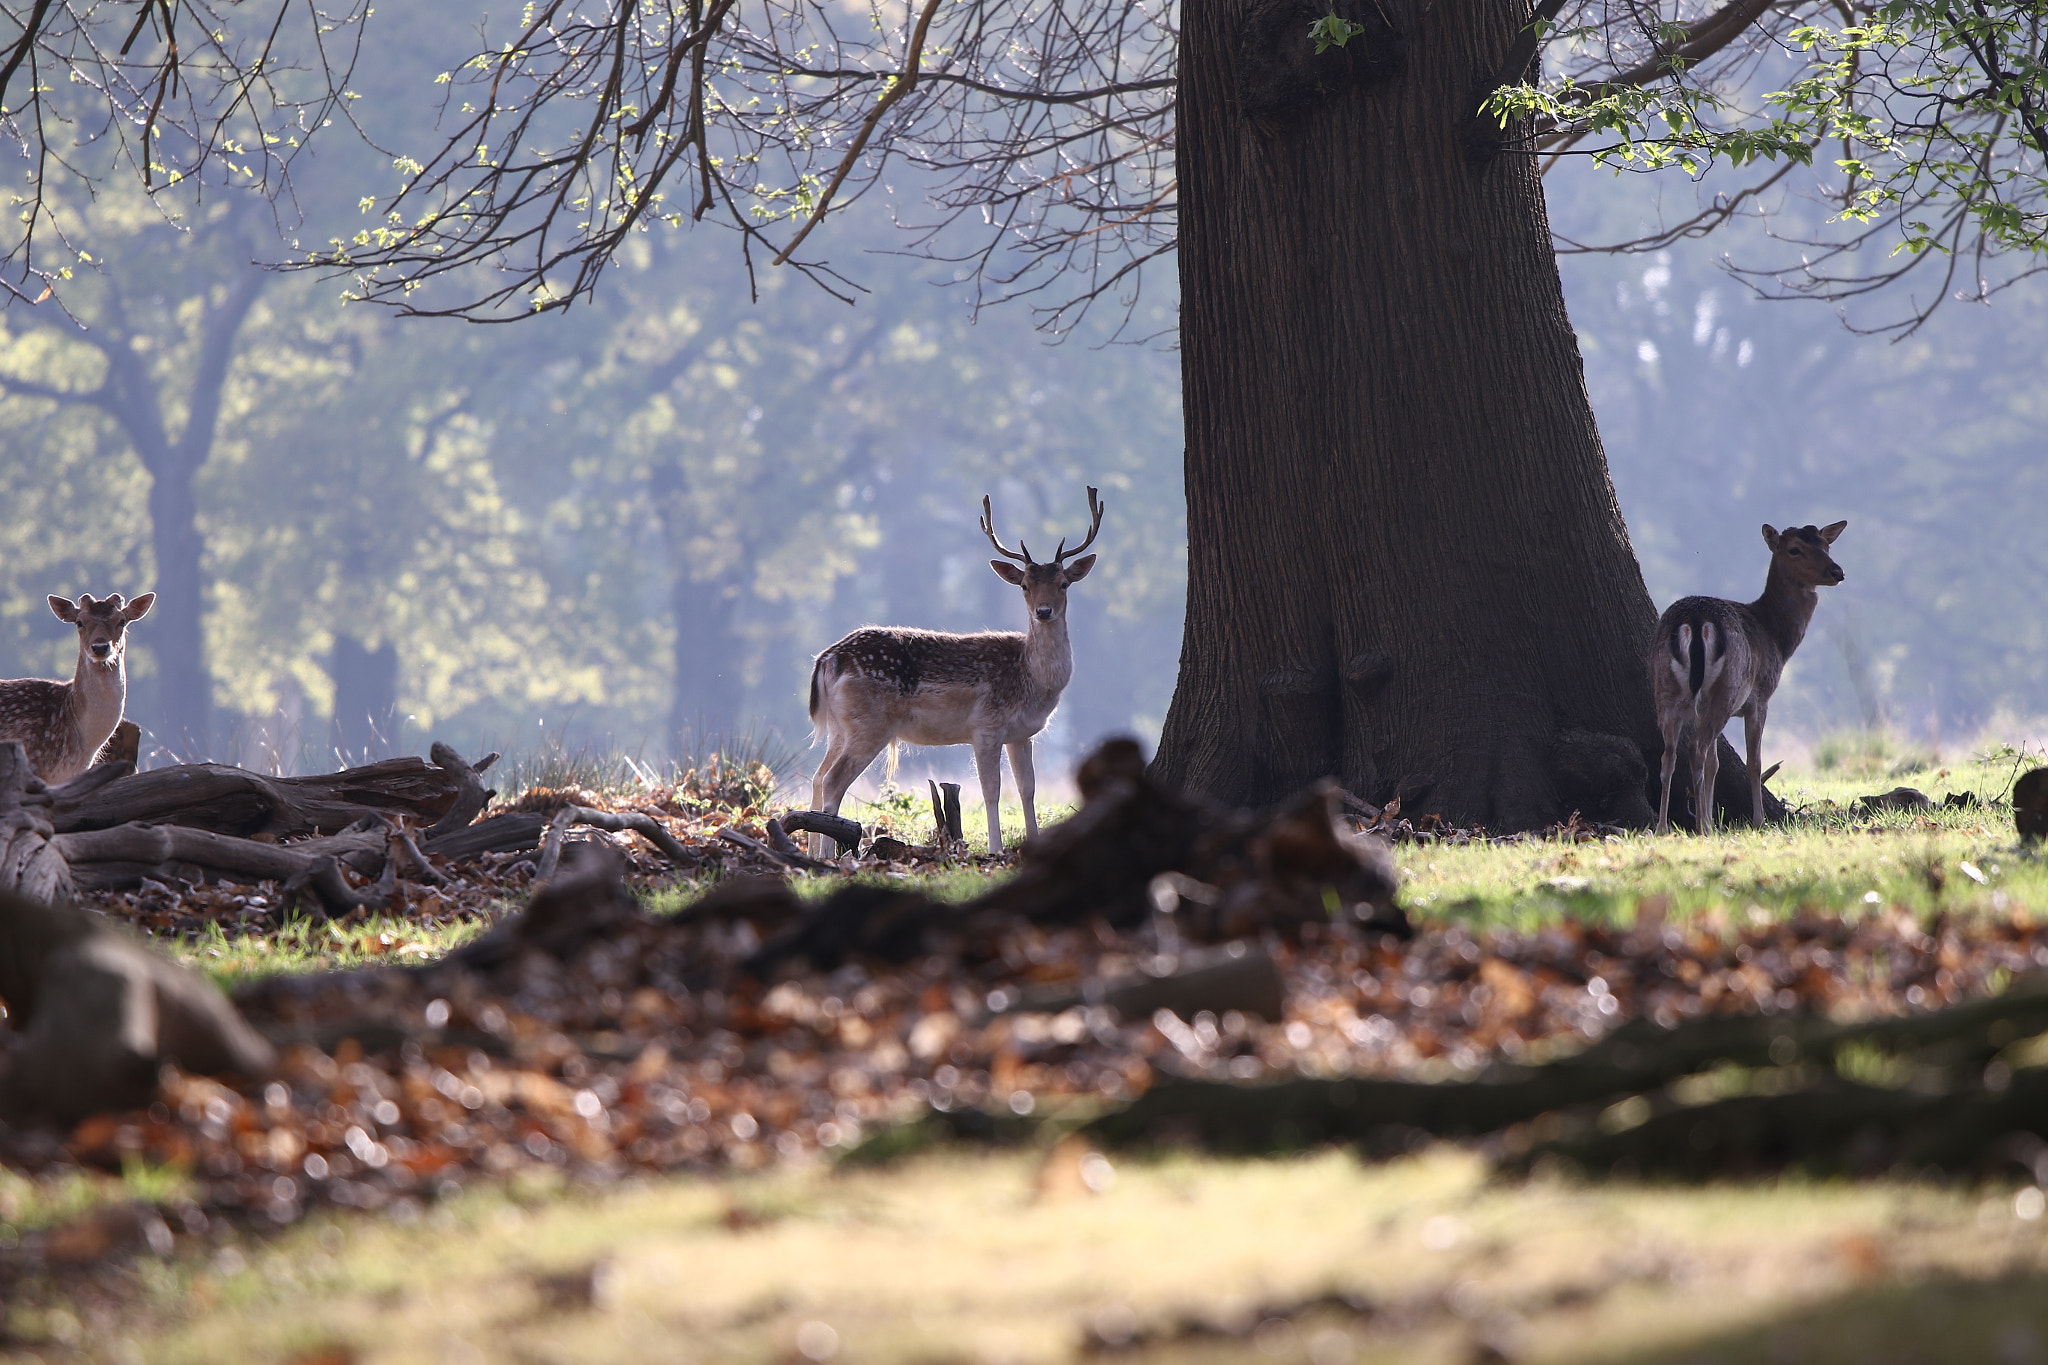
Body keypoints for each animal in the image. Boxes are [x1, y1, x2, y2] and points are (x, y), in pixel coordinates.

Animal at [806, 489, 1114, 855]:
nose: (1043, 611)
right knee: (833, 781)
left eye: (1064, 583)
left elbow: (1027, 789)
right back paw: (831, 855)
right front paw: (996, 849)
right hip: (870, 725)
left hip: (841, 727)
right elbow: (991, 790)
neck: (1033, 680)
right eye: (1024, 585)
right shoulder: (986, 725)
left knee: (817, 776)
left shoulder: (1022, 734)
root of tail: (826, 659)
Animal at [1654, 523, 1851, 834]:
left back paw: (1665, 826)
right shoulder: (1760, 699)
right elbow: (1754, 762)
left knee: (1670, 754)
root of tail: (1695, 622)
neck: (1776, 639)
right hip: (1726, 690)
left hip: (1665, 689)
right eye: (1794, 549)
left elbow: (1715, 763)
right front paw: (1758, 820)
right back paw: (1701, 827)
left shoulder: (1699, 708)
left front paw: (1712, 817)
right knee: (1696, 747)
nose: (1837, 572)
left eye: (1826, 545)